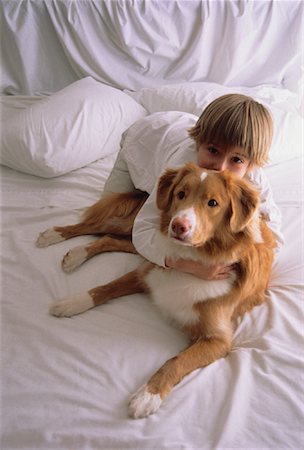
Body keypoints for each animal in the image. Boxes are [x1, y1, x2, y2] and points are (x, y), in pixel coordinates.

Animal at [35, 163, 276, 418]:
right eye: (181, 194)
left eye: (213, 203)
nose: (178, 226)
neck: (193, 259)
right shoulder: (146, 274)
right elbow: (103, 288)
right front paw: (71, 303)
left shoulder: (218, 340)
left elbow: (176, 361)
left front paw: (147, 395)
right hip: (140, 230)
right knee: (99, 226)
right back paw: (55, 235)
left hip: (138, 244)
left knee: (108, 238)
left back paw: (76, 254)